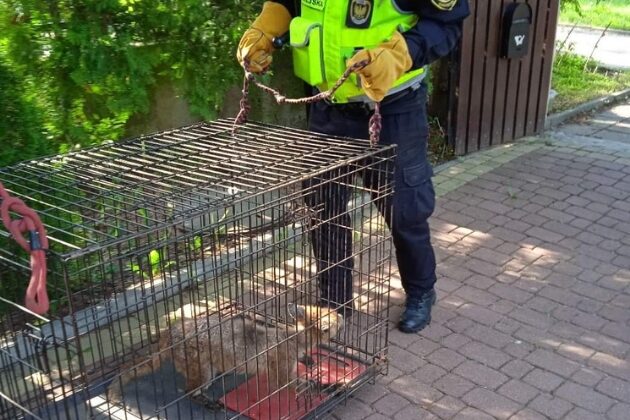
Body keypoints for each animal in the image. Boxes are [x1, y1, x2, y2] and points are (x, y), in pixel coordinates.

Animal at [108, 304, 346, 402]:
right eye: (334, 317)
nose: (342, 315)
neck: (291, 337)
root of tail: (170, 331)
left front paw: (310, 361)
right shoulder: (281, 375)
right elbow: (308, 385)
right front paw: (332, 387)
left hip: (207, 368)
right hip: (202, 371)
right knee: (187, 391)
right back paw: (206, 402)